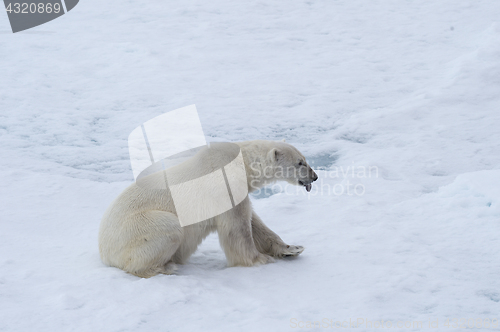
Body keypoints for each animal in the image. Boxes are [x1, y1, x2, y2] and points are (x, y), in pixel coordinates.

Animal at [98, 140, 316, 278]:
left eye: (305, 159)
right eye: (300, 163)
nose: (314, 176)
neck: (240, 162)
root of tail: (104, 253)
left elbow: (256, 224)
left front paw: (291, 249)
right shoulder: (225, 186)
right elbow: (238, 228)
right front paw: (259, 260)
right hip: (137, 228)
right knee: (169, 229)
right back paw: (165, 267)